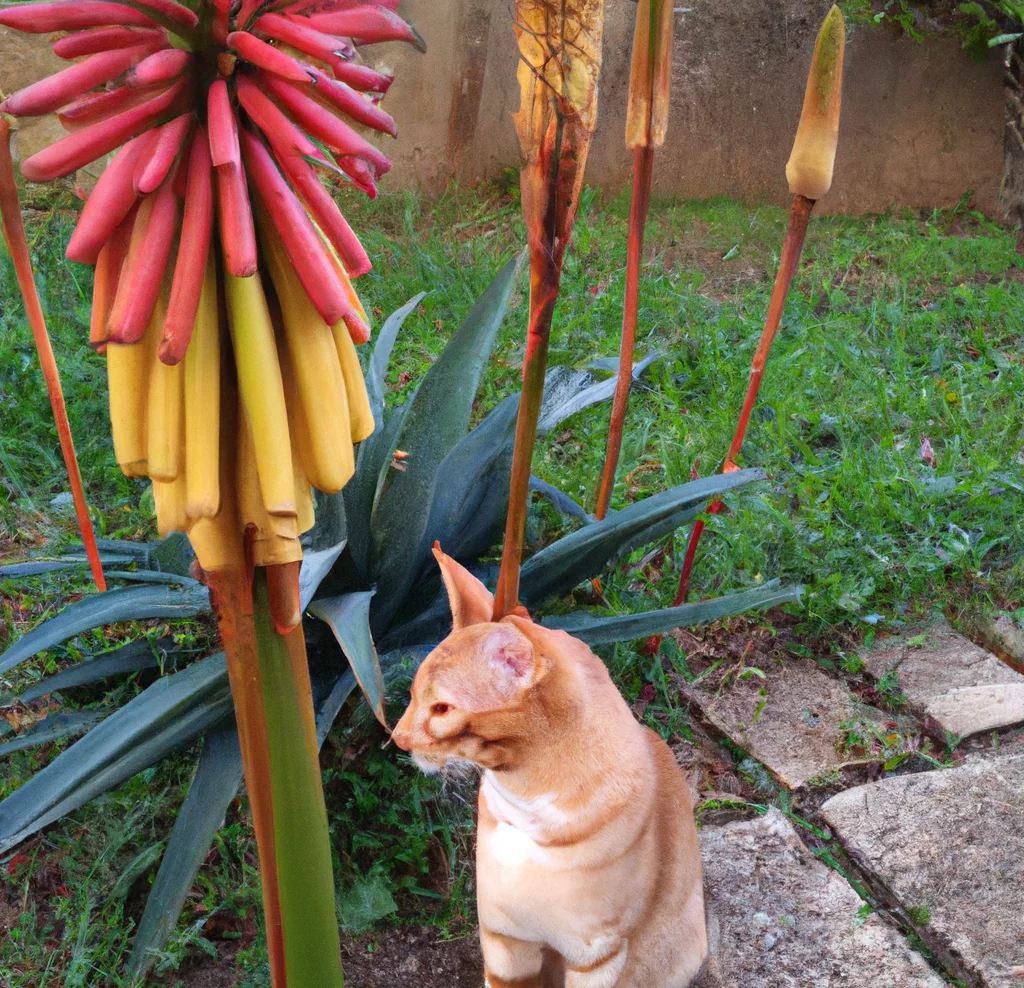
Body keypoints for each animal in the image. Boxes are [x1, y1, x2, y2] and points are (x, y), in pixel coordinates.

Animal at [387, 548, 708, 986]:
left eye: (441, 709)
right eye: (413, 694)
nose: (398, 736)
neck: (524, 815)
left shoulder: (597, 957)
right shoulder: (502, 938)